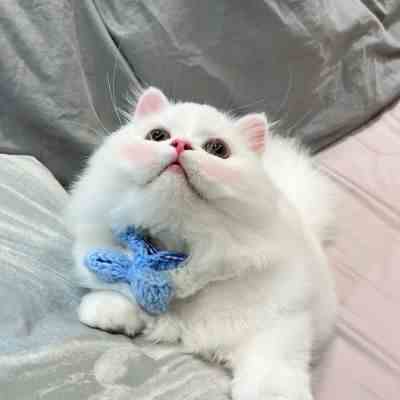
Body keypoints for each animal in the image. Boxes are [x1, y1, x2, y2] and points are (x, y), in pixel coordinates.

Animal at [67, 87, 337, 400]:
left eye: (218, 149)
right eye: (157, 135)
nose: (180, 144)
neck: (177, 251)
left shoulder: (280, 323)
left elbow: (271, 372)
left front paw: (271, 394)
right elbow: (121, 292)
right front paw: (106, 312)